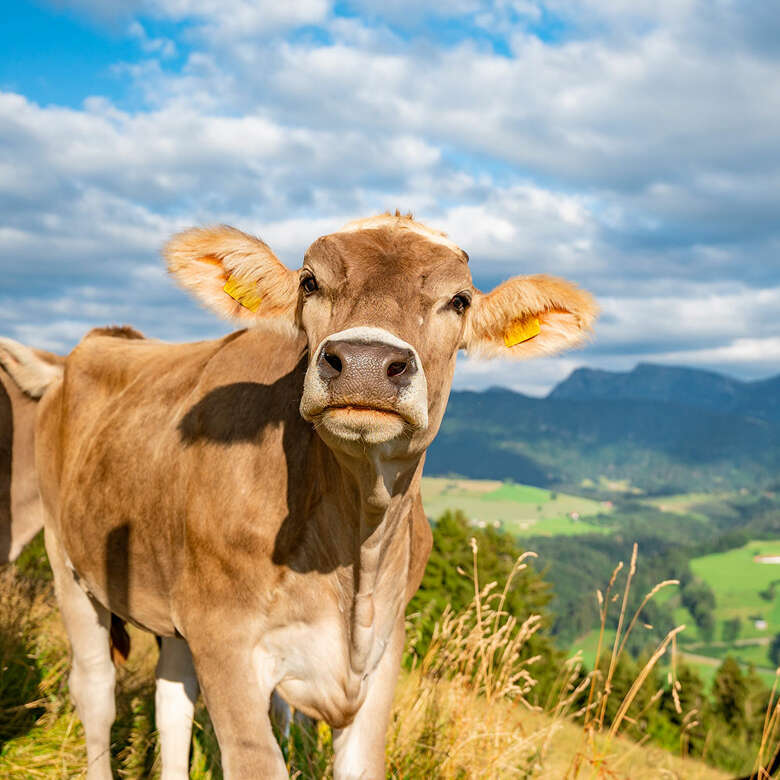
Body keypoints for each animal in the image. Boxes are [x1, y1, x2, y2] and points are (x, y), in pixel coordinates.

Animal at [7, 213, 596, 780]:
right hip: (67, 557)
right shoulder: (226, 641)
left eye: (459, 300)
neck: (354, 552)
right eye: (310, 283)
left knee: (171, 699)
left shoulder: (382, 652)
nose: (364, 362)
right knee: (95, 690)